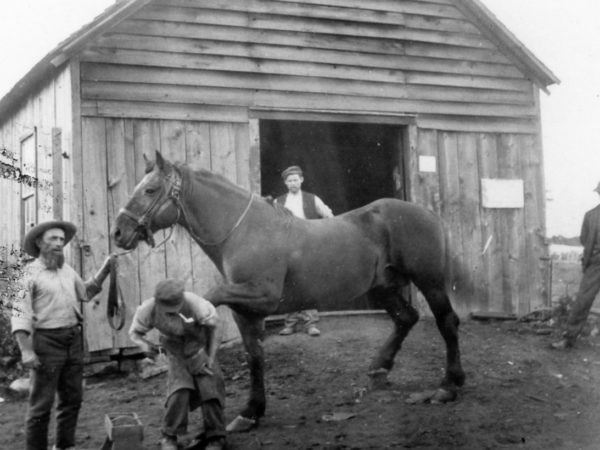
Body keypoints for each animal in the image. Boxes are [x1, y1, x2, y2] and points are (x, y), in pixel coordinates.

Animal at [113, 153, 468, 430]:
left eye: (150, 190)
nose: (119, 232)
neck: (245, 232)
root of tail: (427, 214)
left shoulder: (261, 296)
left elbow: (209, 297)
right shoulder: (246, 312)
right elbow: (254, 357)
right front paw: (250, 413)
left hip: (430, 282)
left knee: (447, 323)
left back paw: (448, 386)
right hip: (383, 287)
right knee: (405, 318)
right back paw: (379, 367)